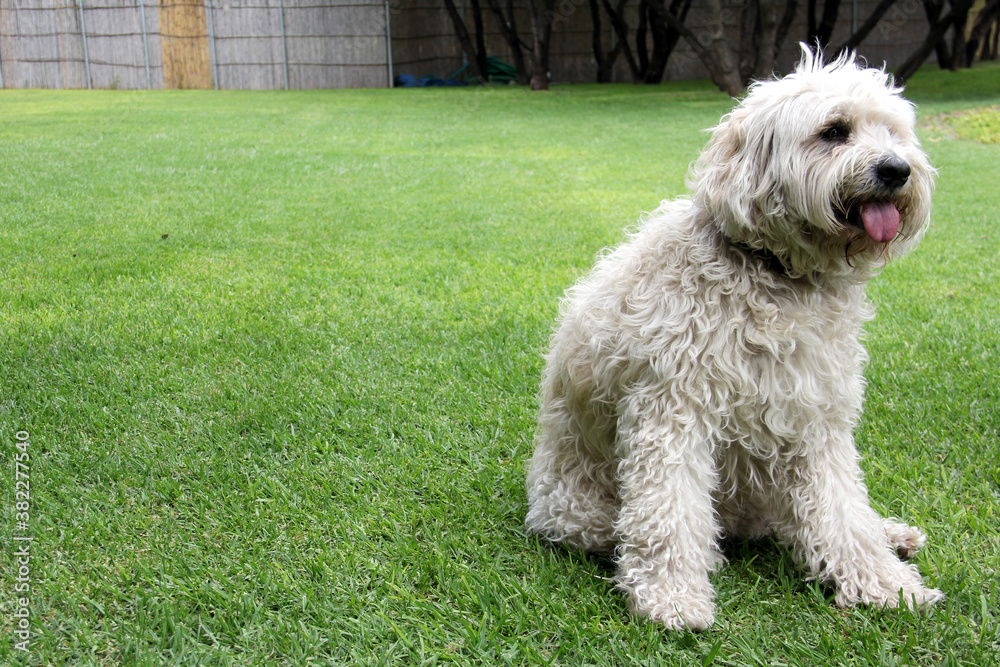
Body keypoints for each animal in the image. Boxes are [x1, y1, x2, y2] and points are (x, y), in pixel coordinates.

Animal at [528, 48, 940, 632]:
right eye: (834, 131)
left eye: (894, 132)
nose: (897, 169)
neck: (774, 275)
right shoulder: (672, 411)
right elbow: (670, 513)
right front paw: (672, 597)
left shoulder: (816, 417)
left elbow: (841, 508)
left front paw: (885, 583)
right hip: (584, 510)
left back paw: (892, 534)